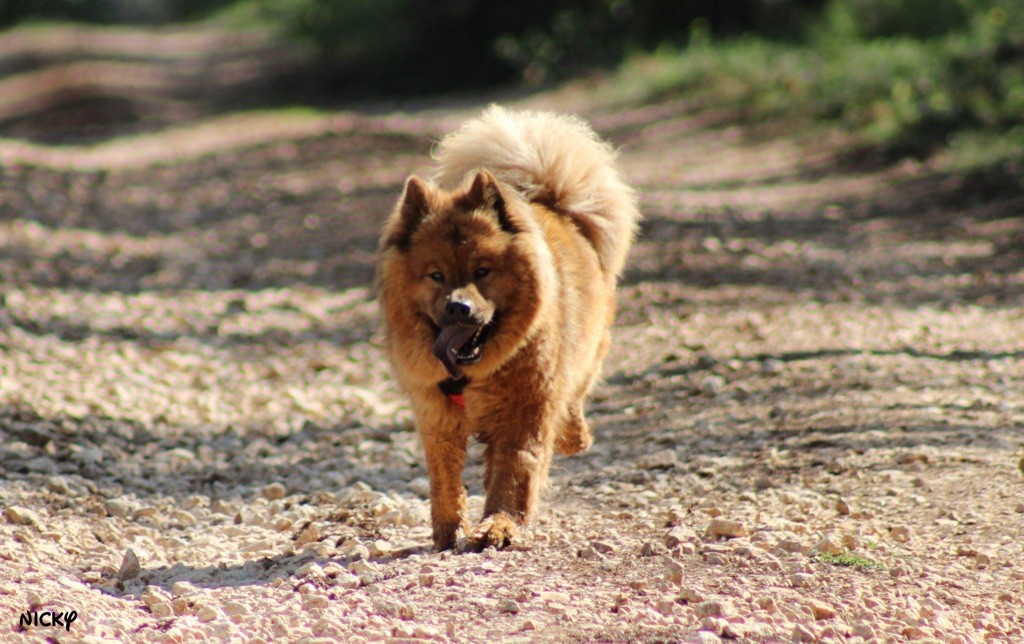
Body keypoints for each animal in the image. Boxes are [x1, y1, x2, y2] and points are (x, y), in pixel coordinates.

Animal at [374, 104, 638, 548]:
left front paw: (498, 525)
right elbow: (444, 481)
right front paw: (448, 531)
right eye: (436, 276)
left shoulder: (525, 408)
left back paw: (573, 436)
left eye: (482, 271)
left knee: (574, 401)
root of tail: (551, 201)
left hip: (586, 353)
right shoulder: (436, 418)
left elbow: (515, 472)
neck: (469, 373)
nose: (458, 308)